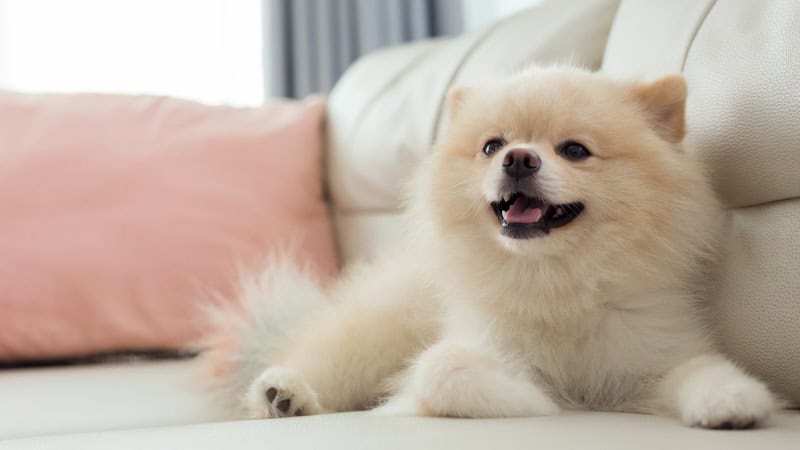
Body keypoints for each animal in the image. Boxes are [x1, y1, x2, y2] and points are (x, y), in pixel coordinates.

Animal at [197, 67, 780, 428]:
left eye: (575, 150)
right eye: (491, 145)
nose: (518, 157)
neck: (555, 281)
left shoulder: (651, 355)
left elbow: (703, 370)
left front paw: (736, 401)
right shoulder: (473, 343)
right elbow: (442, 371)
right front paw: (541, 400)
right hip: (378, 333)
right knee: (322, 361)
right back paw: (284, 393)